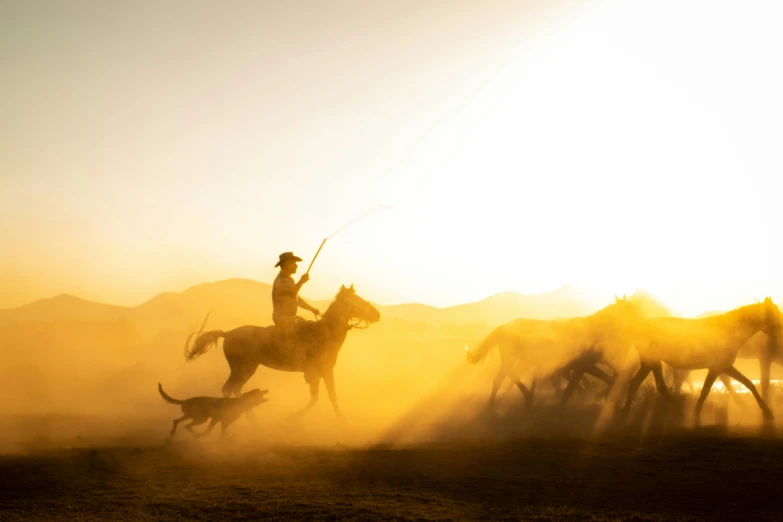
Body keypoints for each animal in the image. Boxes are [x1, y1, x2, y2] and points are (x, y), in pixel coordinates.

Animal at [184, 282, 380, 420]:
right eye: (357, 300)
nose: (376, 314)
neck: (324, 333)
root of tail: (228, 333)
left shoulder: (324, 371)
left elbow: (330, 397)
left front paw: (341, 419)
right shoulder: (318, 372)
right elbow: (317, 398)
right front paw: (293, 417)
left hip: (245, 369)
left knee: (235, 388)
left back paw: (250, 416)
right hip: (243, 368)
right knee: (229, 388)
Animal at [466, 296, 648, 410]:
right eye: (630, 310)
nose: (642, 324)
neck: (596, 330)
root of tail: (503, 328)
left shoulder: (587, 365)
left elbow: (607, 377)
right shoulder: (584, 365)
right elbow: (587, 382)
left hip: (522, 360)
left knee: (507, 376)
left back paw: (522, 399)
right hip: (512, 358)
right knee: (504, 377)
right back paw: (501, 403)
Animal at [620, 294, 780, 420]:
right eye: (775, 315)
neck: (728, 331)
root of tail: (638, 327)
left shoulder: (723, 367)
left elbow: (748, 383)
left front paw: (768, 412)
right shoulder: (718, 368)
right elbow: (705, 392)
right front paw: (696, 414)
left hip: (649, 363)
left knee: (637, 383)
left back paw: (626, 412)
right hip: (652, 361)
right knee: (658, 386)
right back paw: (678, 412)